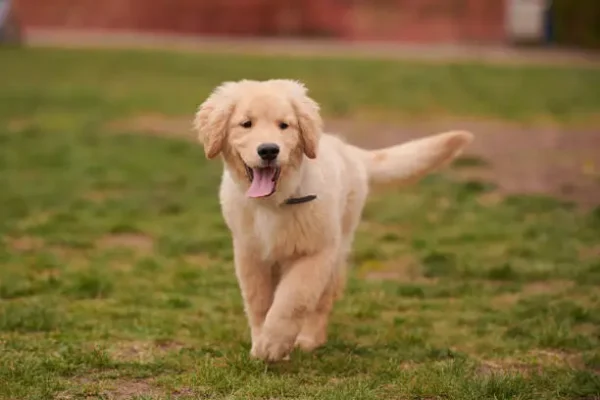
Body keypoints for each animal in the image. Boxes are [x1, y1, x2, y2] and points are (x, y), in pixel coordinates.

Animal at [195, 79, 476, 360]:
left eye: (284, 125)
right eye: (246, 124)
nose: (268, 150)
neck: (275, 203)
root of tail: (349, 150)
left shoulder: (316, 252)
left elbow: (293, 299)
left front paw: (274, 343)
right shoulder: (250, 254)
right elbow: (258, 302)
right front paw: (260, 344)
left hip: (338, 248)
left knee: (321, 302)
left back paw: (308, 339)